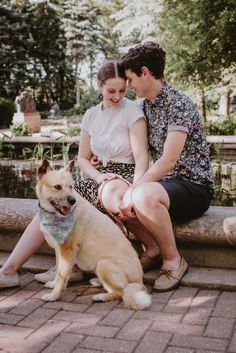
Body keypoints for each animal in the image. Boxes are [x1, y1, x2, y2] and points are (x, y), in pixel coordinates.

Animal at [36, 158, 152, 310]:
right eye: (57, 187)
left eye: (71, 187)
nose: (72, 201)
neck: (54, 215)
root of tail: (139, 282)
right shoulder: (58, 249)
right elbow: (59, 273)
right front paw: (53, 284)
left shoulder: (67, 250)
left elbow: (62, 276)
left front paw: (54, 296)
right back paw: (98, 282)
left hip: (104, 264)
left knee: (120, 291)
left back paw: (101, 297)